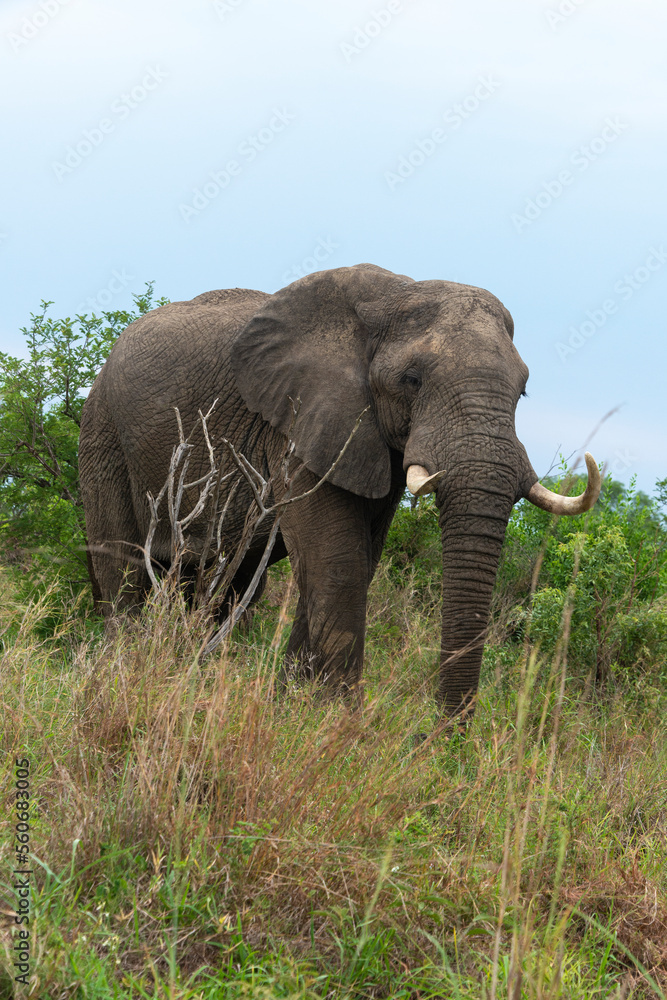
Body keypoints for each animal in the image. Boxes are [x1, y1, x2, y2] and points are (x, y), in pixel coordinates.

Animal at [79, 264, 600, 720]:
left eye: (523, 391)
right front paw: (337, 720)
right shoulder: (300, 421)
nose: (442, 737)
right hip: (103, 428)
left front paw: (292, 707)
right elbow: (338, 560)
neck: (396, 296)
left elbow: (355, 559)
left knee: (225, 580)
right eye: (412, 380)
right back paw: (122, 670)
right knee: (121, 565)